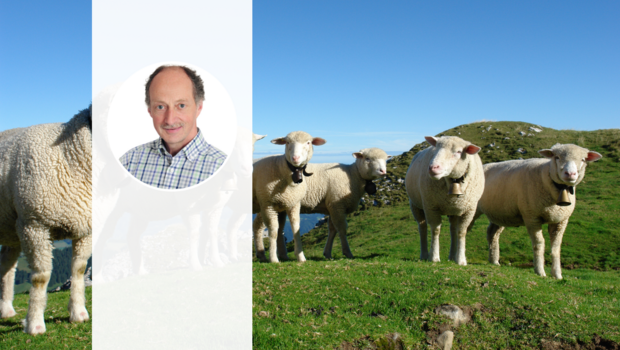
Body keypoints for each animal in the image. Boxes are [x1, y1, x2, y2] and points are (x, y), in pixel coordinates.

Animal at [0, 108, 92, 334]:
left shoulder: (85, 229)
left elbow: (78, 270)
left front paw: (78, 313)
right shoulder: (34, 225)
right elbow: (41, 278)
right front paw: (34, 324)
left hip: (11, 226)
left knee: (7, 265)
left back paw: (6, 309)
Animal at [253, 131, 326, 262]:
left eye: (308, 142)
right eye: (287, 142)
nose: (295, 158)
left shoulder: (293, 203)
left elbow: (295, 228)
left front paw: (301, 257)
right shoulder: (268, 205)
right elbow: (273, 231)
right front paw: (274, 259)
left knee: (257, 225)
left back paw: (263, 255)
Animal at [260, 147, 390, 260]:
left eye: (385, 160)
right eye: (367, 158)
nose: (383, 171)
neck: (353, 175)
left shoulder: (332, 207)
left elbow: (332, 229)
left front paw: (327, 253)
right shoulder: (337, 205)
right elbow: (342, 228)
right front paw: (347, 253)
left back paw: (277, 256)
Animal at [404, 136, 486, 266]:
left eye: (459, 152)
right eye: (436, 148)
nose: (433, 168)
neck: (454, 180)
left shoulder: (469, 210)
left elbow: (461, 232)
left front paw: (461, 259)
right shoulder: (431, 206)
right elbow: (435, 230)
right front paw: (434, 257)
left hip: (453, 210)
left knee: (453, 230)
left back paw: (452, 256)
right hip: (415, 205)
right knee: (422, 228)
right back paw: (424, 255)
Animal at [474, 143, 600, 278]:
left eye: (583, 159)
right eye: (556, 157)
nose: (570, 174)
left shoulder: (561, 220)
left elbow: (556, 247)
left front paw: (557, 275)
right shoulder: (532, 217)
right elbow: (539, 244)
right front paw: (540, 271)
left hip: (500, 213)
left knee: (492, 233)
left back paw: (494, 261)